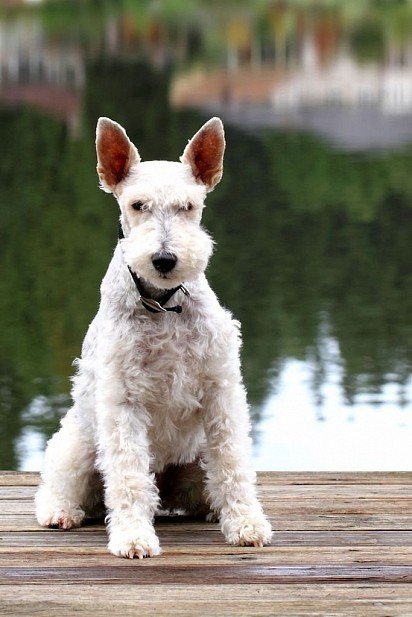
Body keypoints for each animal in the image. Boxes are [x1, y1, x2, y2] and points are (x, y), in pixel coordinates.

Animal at [35, 116, 272, 560]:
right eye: (137, 205)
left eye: (189, 206)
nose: (164, 259)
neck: (163, 306)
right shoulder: (123, 400)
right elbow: (128, 477)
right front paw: (133, 538)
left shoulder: (221, 388)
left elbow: (233, 463)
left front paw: (246, 524)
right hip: (77, 442)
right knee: (64, 486)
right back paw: (61, 512)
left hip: (195, 459)